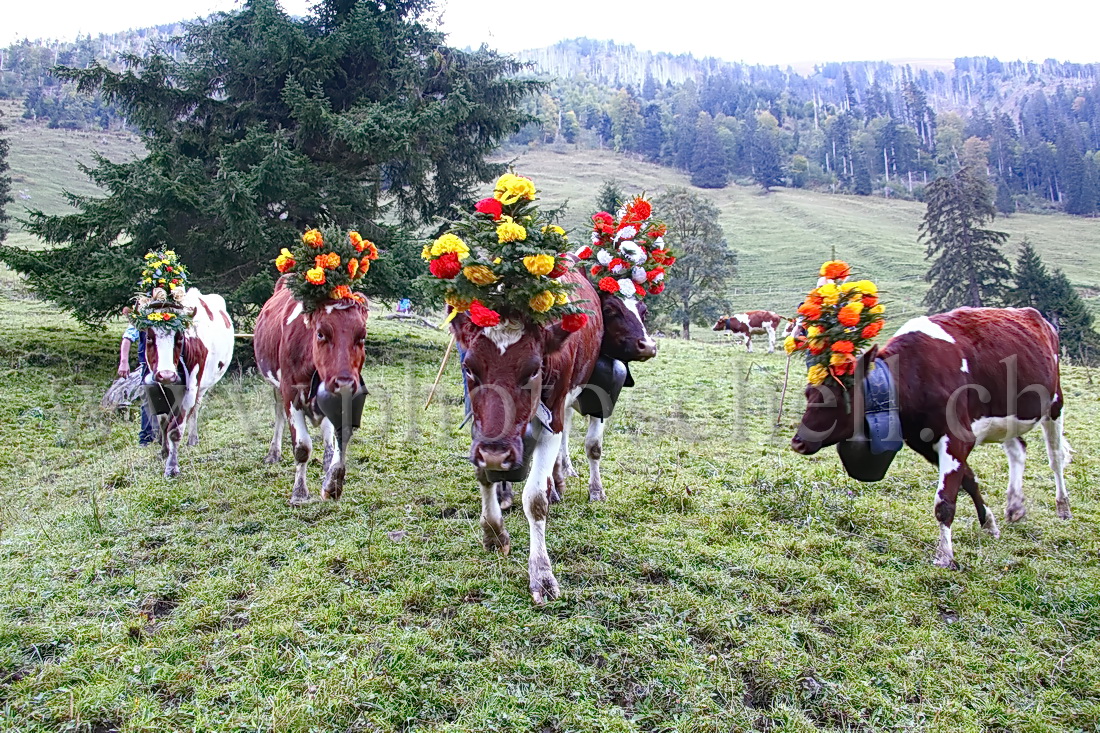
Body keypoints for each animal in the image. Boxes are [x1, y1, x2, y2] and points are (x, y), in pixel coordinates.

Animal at [133, 250, 236, 477]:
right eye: (149, 337)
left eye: (180, 338)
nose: (166, 375)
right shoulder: (155, 388)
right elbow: (163, 421)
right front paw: (163, 451)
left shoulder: (190, 387)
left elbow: (175, 429)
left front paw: (171, 466)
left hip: (203, 385)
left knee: (195, 408)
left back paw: (193, 438)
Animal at [256, 228, 378, 501]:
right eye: (321, 333)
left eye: (362, 336)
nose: (344, 381)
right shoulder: (290, 391)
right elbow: (302, 447)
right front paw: (300, 493)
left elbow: (340, 439)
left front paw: (333, 481)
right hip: (274, 385)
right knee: (278, 413)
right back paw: (273, 453)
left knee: (326, 433)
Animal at [455, 268, 602, 598]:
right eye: (469, 368)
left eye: (533, 370)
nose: (496, 453)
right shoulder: (478, 427)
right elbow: (484, 476)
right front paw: (494, 533)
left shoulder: (553, 418)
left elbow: (535, 499)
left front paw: (542, 574)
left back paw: (575, 484)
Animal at [787, 259, 1069, 567]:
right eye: (808, 393)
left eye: (839, 397)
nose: (798, 442)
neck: (911, 377)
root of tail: (1035, 315)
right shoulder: (925, 441)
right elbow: (969, 481)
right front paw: (989, 524)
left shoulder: (957, 438)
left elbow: (944, 501)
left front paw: (944, 555)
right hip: (1009, 415)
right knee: (1018, 450)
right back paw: (1015, 507)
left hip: (1055, 405)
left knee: (1056, 457)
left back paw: (1063, 507)